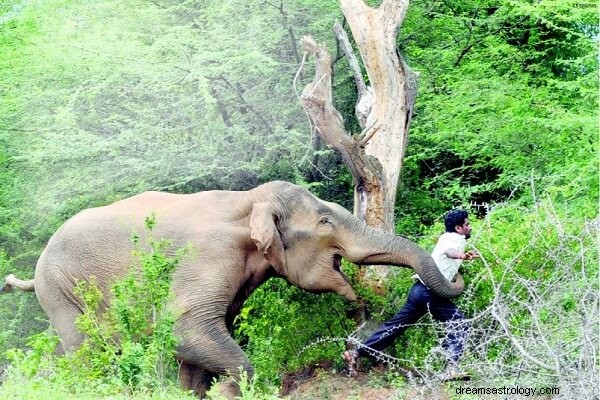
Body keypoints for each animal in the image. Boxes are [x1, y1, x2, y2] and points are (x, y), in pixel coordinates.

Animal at [1, 180, 464, 396]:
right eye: (325, 223)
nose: (359, 313)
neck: (247, 200)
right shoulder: (208, 258)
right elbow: (187, 329)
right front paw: (228, 391)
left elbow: (195, 343)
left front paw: (200, 392)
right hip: (61, 292)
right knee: (86, 353)